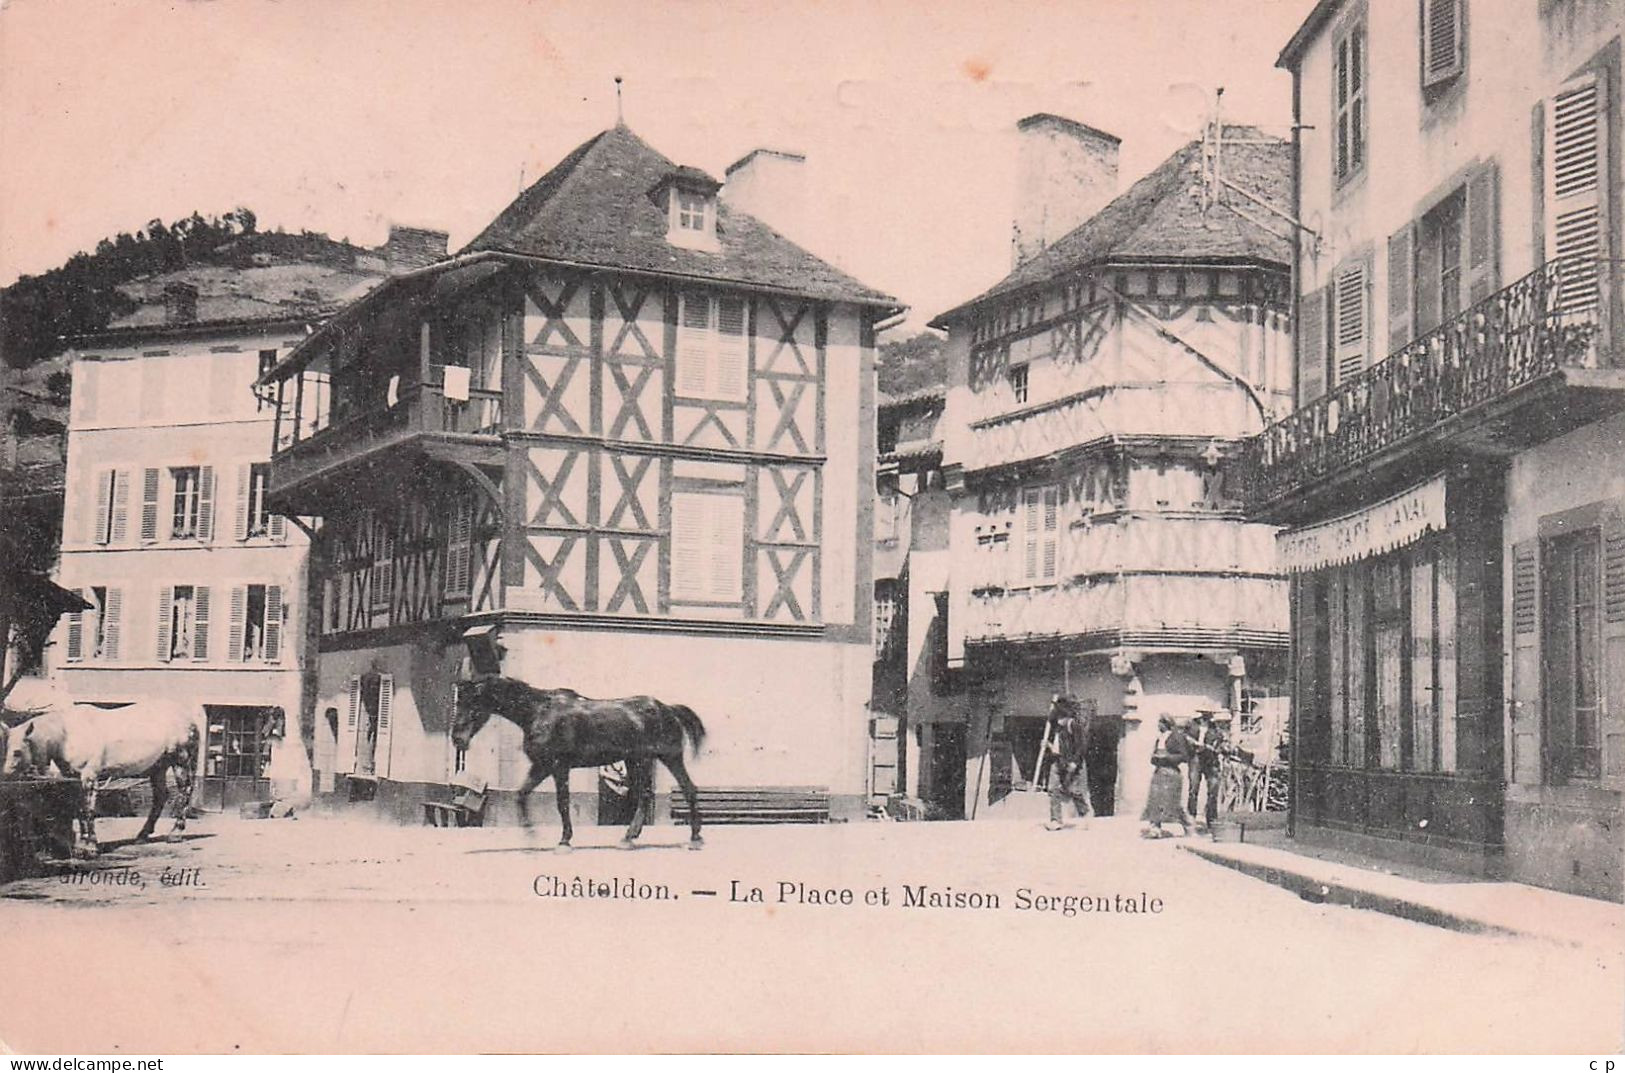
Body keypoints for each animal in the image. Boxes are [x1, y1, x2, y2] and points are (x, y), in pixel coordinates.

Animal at [0, 699, 203, 858]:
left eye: (17, 752)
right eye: (5, 749)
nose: (6, 775)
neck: (67, 735)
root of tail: (190, 719)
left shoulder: (89, 777)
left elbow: (88, 811)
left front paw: (90, 848)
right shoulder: (73, 778)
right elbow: (80, 811)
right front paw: (82, 846)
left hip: (180, 761)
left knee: (185, 791)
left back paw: (175, 833)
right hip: (158, 767)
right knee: (161, 797)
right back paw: (142, 835)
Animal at [458, 679, 711, 845]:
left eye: (472, 706)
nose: (457, 739)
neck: (539, 712)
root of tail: (668, 708)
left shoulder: (558, 766)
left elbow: (562, 802)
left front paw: (564, 839)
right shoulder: (542, 766)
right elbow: (521, 795)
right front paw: (531, 833)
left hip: (665, 758)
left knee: (686, 789)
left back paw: (694, 836)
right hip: (637, 760)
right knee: (648, 794)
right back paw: (631, 836)